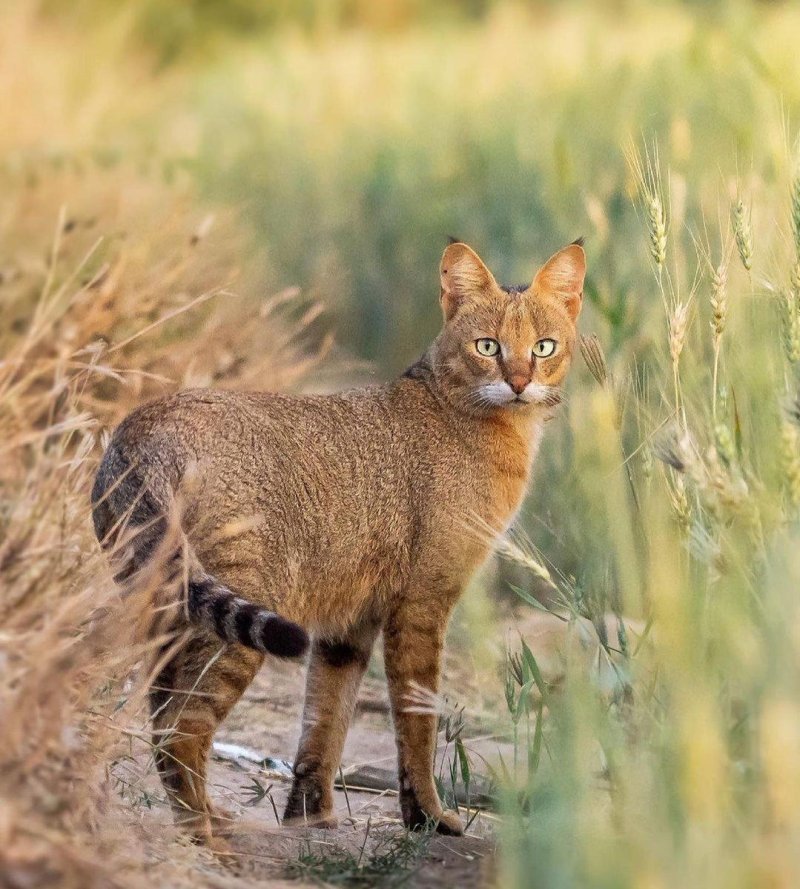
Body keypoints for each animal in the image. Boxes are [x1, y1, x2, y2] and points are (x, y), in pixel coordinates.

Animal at [90, 236, 584, 848]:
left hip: (165, 606)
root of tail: (141, 426)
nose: (518, 382)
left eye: (544, 347)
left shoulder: (349, 626)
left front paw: (312, 817)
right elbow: (416, 720)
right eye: (487, 346)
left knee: (158, 713)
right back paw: (204, 837)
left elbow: (324, 722)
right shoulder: (422, 604)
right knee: (182, 725)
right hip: (241, 610)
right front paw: (428, 817)